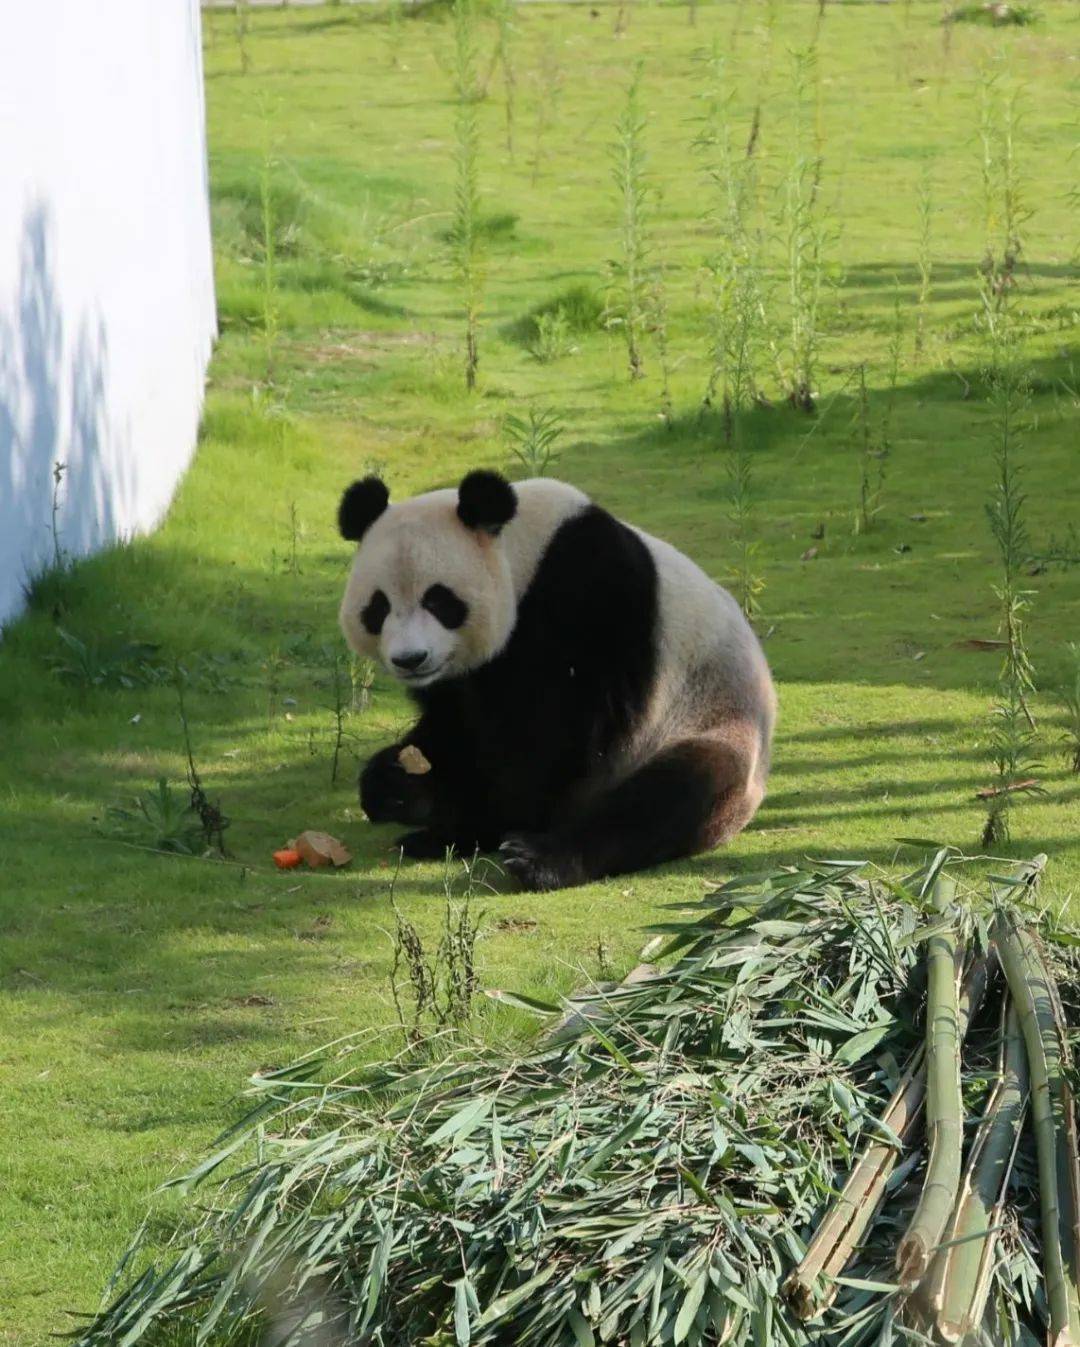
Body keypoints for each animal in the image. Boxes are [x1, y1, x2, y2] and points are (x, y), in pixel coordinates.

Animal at [336, 468, 775, 889]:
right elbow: (455, 725)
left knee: (672, 794)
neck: (526, 554)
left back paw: (541, 860)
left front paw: (464, 829)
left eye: (439, 600)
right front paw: (399, 783)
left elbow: (551, 737)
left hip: (708, 722)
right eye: (378, 607)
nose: (411, 659)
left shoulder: (583, 596)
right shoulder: (460, 676)